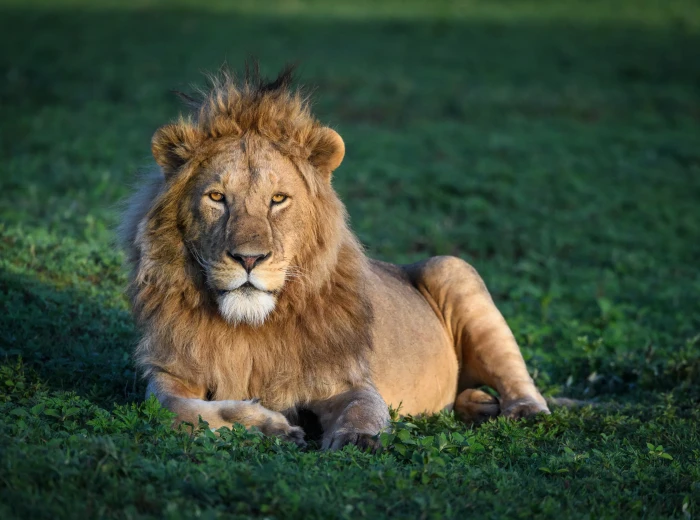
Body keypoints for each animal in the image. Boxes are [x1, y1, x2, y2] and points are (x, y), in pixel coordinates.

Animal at [119, 64, 549, 450]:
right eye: (216, 197)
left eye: (278, 199)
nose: (249, 259)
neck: (249, 330)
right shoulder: (168, 371)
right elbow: (178, 408)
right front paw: (271, 427)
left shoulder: (346, 380)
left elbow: (365, 407)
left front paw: (358, 438)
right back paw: (479, 406)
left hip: (452, 268)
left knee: (520, 381)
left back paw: (523, 412)